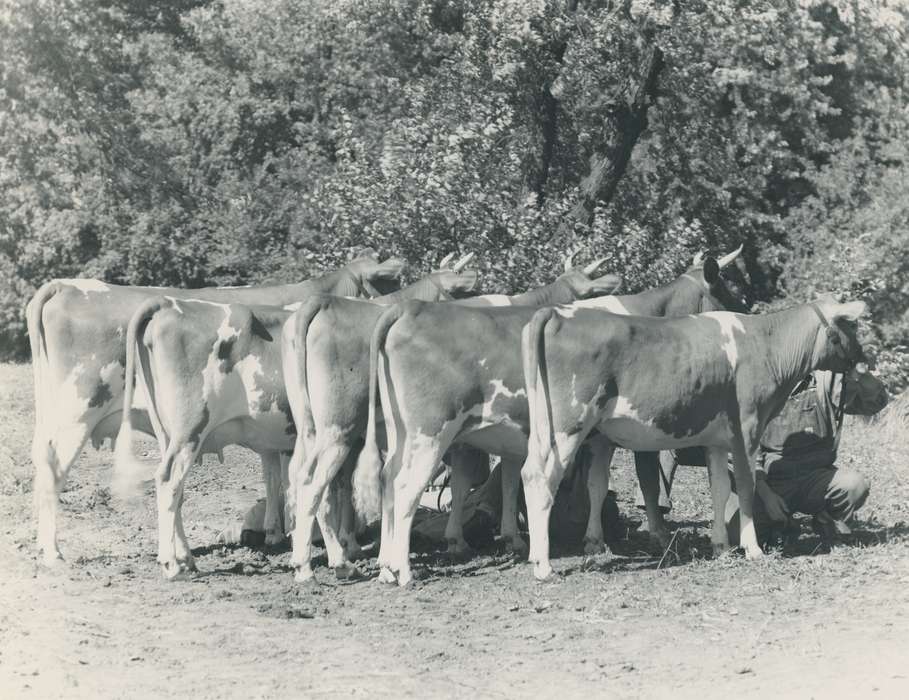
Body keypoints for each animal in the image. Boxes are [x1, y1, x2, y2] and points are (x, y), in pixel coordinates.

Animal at [26, 250, 405, 566]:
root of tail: (65, 285)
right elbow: (333, 485)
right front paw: (341, 542)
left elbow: (276, 476)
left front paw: (278, 533)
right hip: (80, 412)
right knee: (57, 471)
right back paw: (55, 553)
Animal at [112, 257, 480, 579]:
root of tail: (167, 305)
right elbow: (340, 490)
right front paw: (350, 545)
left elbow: (334, 489)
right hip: (193, 426)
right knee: (170, 480)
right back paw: (174, 565)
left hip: (169, 431)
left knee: (174, 487)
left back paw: (184, 557)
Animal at [282, 259, 623, 583]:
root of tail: (325, 302)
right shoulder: (596, 437)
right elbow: (595, 483)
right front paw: (592, 540)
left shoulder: (506, 438)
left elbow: (502, 482)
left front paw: (506, 538)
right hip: (342, 429)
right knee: (320, 485)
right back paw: (326, 565)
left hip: (320, 430)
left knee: (314, 478)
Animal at [352, 252, 746, 586]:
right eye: (728, 290)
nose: (746, 311)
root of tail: (410, 310)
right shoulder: (615, 431)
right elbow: (643, 478)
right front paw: (654, 533)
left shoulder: (596, 436)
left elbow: (594, 484)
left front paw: (593, 540)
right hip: (431, 431)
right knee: (407, 486)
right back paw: (404, 571)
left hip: (402, 431)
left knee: (389, 480)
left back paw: (387, 568)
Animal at [518, 296, 868, 579]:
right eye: (851, 325)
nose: (864, 358)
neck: (766, 346)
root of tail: (559, 313)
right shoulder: (747, 430)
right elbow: (746, 485)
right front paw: (753, 548)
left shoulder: (716, 440)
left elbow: (720, 489)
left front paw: (721, 546)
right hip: (568, 425)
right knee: (541, 479)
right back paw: (544, 567)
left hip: (556, 428)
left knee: (553, 476)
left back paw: (548, 553)